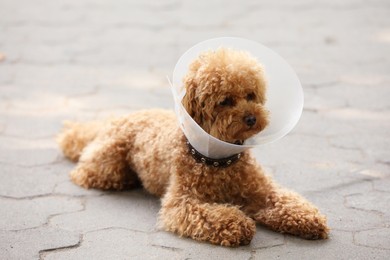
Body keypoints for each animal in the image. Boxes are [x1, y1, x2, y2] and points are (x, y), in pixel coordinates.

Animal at [58, 48, 330, 246]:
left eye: (251, 95)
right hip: (107, 164)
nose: (252, 118)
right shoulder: (182, 202)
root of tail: (117, 118)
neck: (221, 162)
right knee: (83, 172)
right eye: (225, 101)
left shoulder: (261, 191)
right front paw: (238, 224)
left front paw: (308, 218)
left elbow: (285, 200)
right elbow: (211, 215)